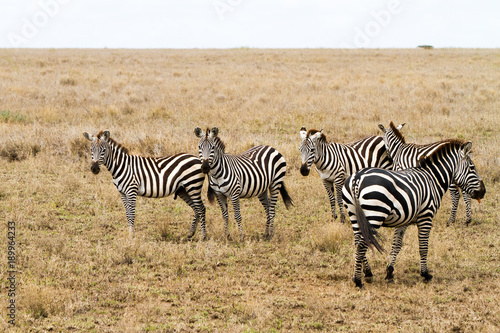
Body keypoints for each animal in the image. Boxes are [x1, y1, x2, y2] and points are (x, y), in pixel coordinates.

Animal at [344, 139, 484, 286]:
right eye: (472, 168)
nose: (483, 191)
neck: (433, 179)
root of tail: (357, 178)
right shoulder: (426, 216)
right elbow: (423, 246)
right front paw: (425, 274)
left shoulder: (403, 219)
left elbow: (396, 245)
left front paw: (390, 272)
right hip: (374, 214)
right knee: (361, 245)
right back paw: (358, 280)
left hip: (354, 214)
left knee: (358, 242)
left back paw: (367, 272)